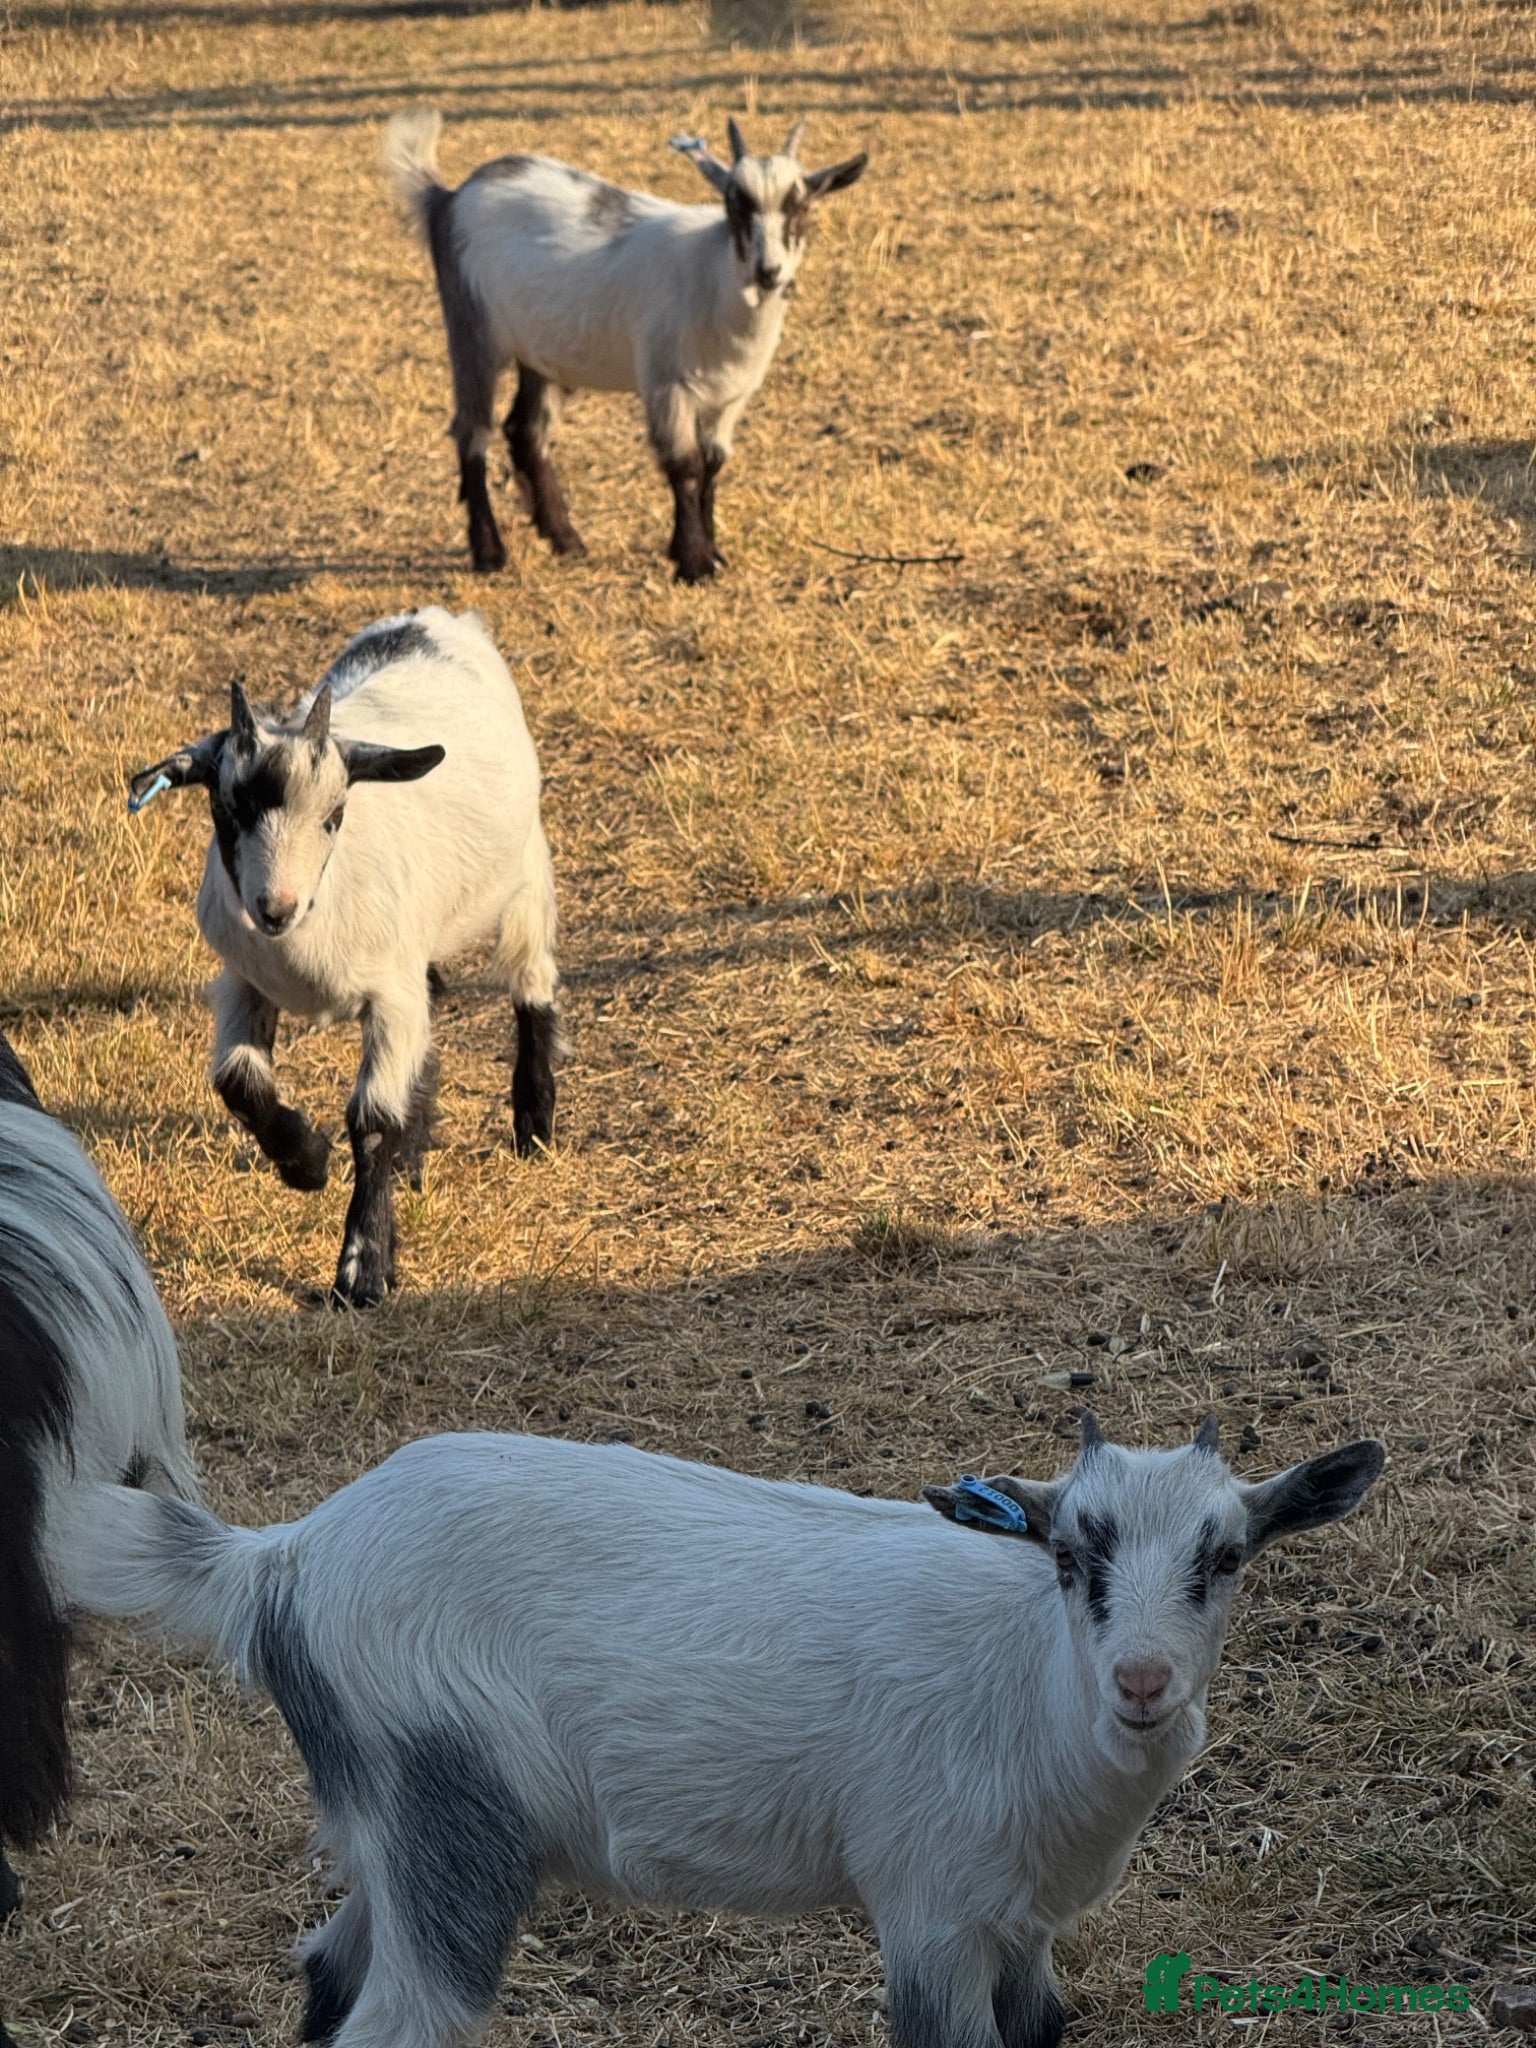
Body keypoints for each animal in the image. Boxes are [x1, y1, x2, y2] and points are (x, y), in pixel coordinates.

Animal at [62, 1414, 1384, 2048]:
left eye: (1228, 1557)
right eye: (1069, 1554)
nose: (1145, 1681)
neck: (1023, 1684)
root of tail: (282, 1557)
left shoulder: (1022, 1924)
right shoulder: (932, 1909)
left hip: (396, 1825)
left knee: (330, 1968)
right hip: (453, 1817)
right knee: (398, 2020)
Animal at [128, 607, 559, 1309]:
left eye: (334, 815)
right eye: (227, 809)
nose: (276, 908)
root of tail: (432, 618)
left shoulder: (389, 997)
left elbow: (373, 1121)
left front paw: (363, 1271)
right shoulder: (245, 981)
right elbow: (238, 1082)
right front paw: (307, 1160)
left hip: (525, 871)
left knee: (532, 985)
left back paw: (535, 1123)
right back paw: (414, 1160)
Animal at [385, 111, 867, 583]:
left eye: (801, 206)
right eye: (734, 205)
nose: (769, 272)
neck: (713, 276)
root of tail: (446, 198)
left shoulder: (729, 398)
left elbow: (712, 466)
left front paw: (710, 552)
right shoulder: (666, 385)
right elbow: (685, 466)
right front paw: (693, 563)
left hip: (542, 352)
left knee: (526, 431)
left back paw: (566, 541)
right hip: (472, 330)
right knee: (473, 430)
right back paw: (489, 553)